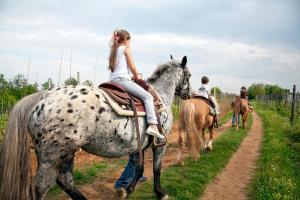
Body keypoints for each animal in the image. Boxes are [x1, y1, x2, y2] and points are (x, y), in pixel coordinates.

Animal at [0, 56, 191, 200]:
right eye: (188, 75)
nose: (189, 94)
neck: (160, 96)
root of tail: (43, 96)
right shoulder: (160, 143)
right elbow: (156, 169)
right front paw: (160, 193)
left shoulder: (140, 145)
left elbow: (139, 168)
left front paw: (126, 190)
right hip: (52, 159)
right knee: (41, 188)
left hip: (65, 154)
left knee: (66, 181)